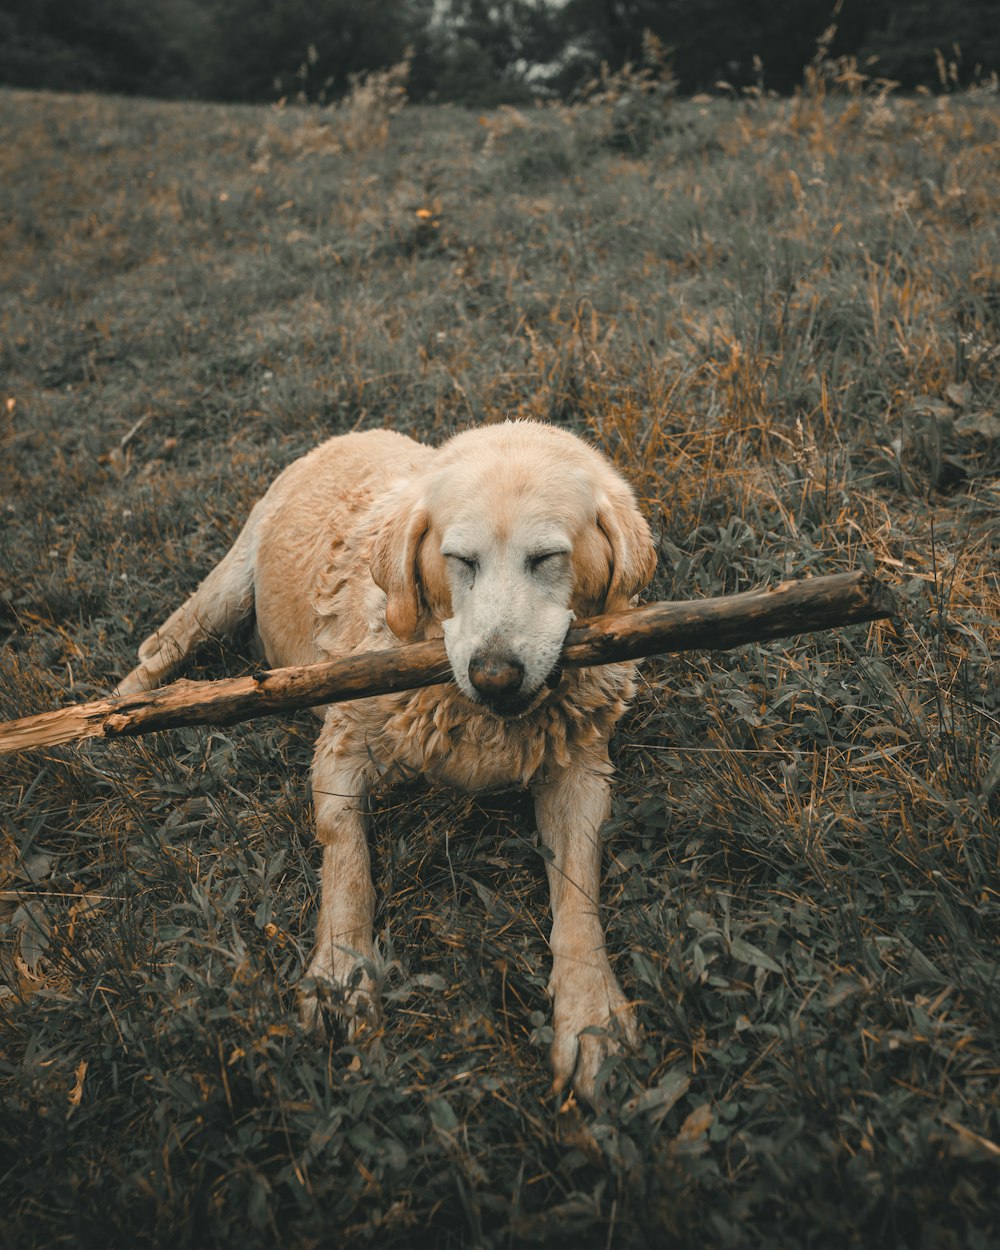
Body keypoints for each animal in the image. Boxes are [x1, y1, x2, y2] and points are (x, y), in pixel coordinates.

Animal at [117, 422, 660, 1105]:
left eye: (547, 558)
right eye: (460, 560)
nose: (494, 676)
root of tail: (353, 432)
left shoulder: (580, 770)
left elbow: (579, 892)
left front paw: (592, 1016)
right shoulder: (343, 748)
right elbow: (346, 861)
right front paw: (341, 973)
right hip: (224, 588)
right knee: (160, 649)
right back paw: (111, 717)